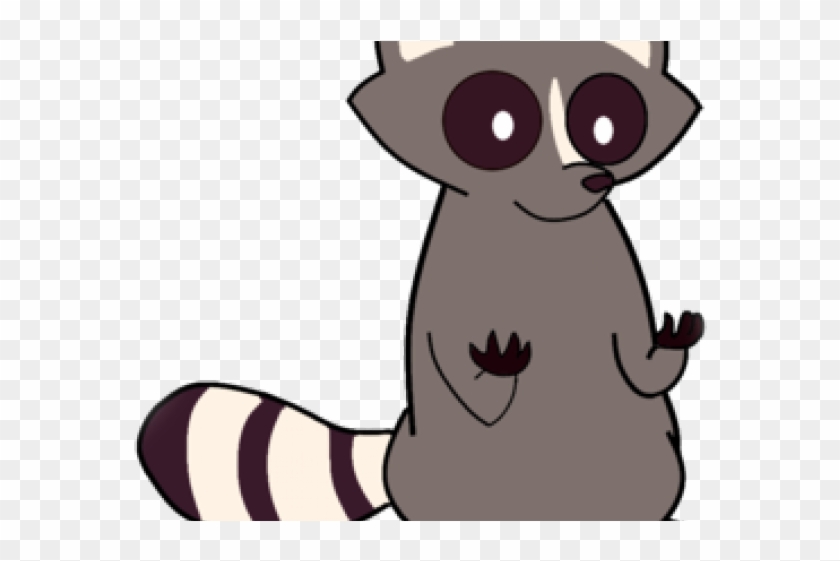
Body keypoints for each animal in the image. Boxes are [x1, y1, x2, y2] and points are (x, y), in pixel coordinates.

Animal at [138, 41, 704, 521]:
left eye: (607, 124)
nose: (592, 177)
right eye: (497, 125)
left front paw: (667, 345)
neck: (544, 227)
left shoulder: (617, 276)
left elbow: (639, 366)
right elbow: (467, 381)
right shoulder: (456, 291)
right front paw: (496, 369)